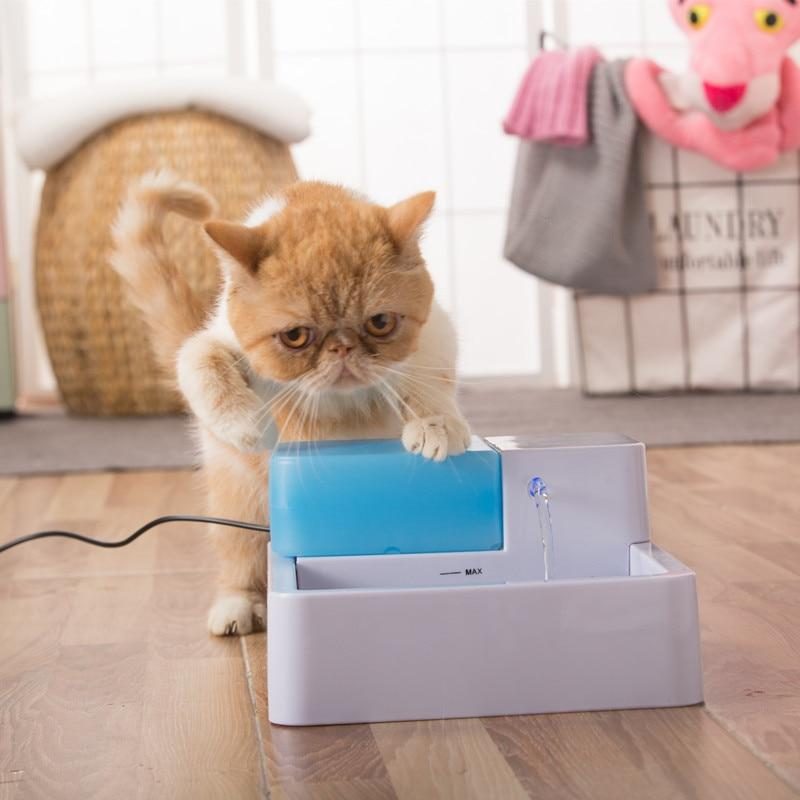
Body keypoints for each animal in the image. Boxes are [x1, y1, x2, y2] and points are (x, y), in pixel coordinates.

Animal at [115, 173, 472, 636]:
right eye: (296, 336)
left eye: (380, 322)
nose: (342, 348)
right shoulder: (219, 340)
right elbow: (199, 359)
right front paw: (244, 422)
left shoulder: (436, 335)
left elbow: (427, 379)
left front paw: (435, 424)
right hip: (239, 503)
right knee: (240, 558)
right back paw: (238, 605)